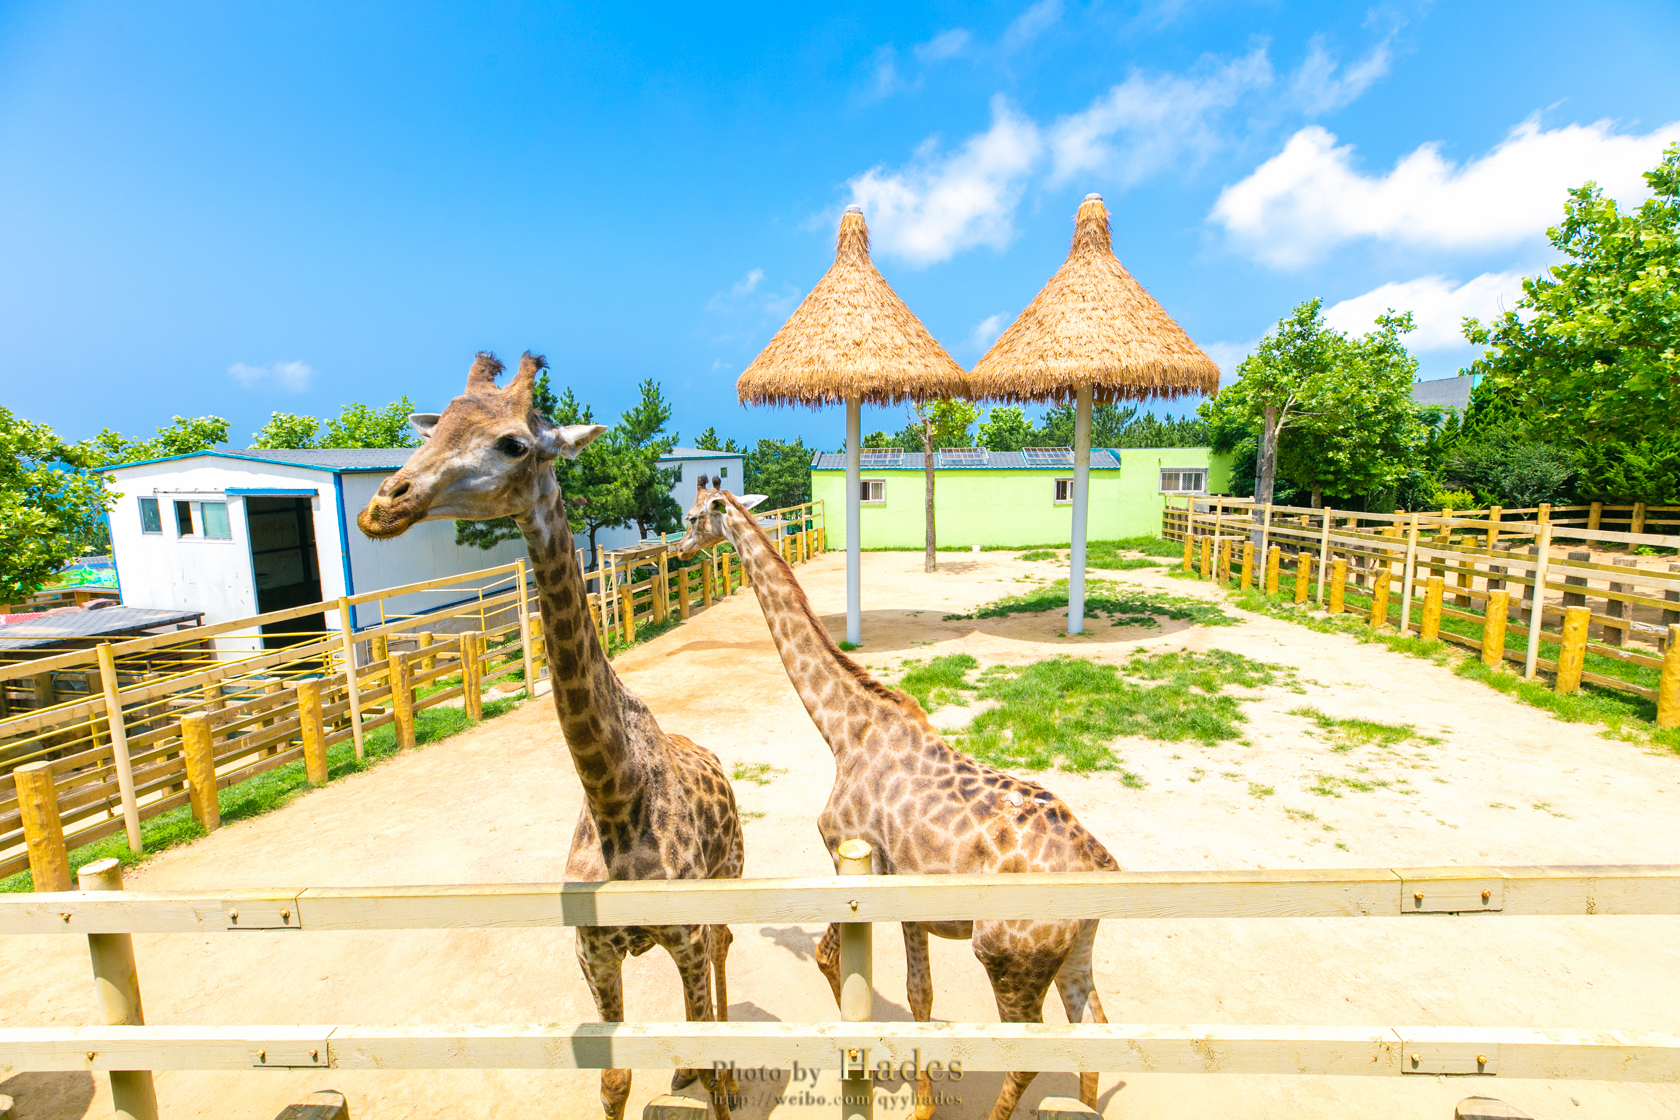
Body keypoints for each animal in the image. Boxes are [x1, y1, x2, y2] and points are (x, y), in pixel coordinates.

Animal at [359, 352, 742, 1120]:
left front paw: (721, 1082)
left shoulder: (685, 934)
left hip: (730, 880)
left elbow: (705, 1056)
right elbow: (614, 1081)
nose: (384, 503)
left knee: (724, 951)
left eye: (513, 443)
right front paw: (670, 1076)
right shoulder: (591, 954)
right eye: (433, 428)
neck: (614, 795)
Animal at [675, 480, 1122, 1120]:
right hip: (1076, 946)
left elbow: (841, 964)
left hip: (1007, 958)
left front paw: (894, 1088)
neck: (842, 730)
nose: (678, 547)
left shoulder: (851, 858)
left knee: (1027, 1053)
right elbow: (918, 996)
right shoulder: (908, 896)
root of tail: (1102, 862)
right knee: (1096, 1027)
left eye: (692, 515)